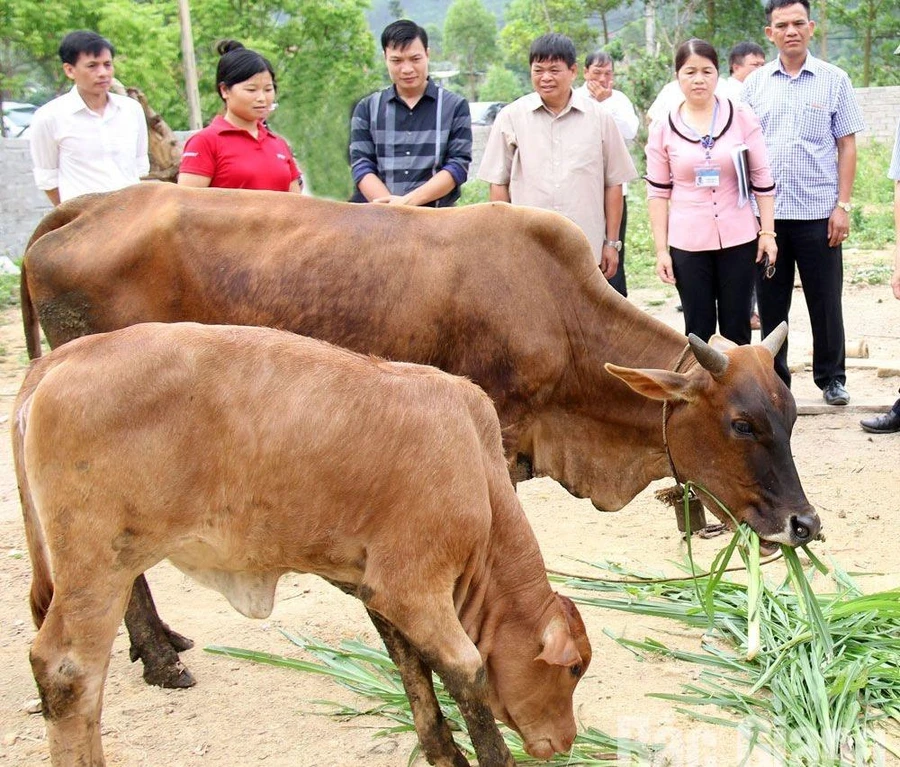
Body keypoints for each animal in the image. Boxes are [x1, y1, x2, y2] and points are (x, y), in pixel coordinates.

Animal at [15, 322, 592, 767]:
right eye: (574, 669)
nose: (567, 740)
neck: (478, 469)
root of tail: (60, 358)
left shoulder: (374, 588)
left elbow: (410, 664)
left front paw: (443, 751)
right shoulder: (413, 587)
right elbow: (466, 672)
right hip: (98, 563)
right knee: (67, 671)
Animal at [22, 184, 824, 688]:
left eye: (789, 412)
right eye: (741, 422)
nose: (804, 524)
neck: (558, 317)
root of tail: (85, 209)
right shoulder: (492, 441)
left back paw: (159, 646)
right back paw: (159, 660)